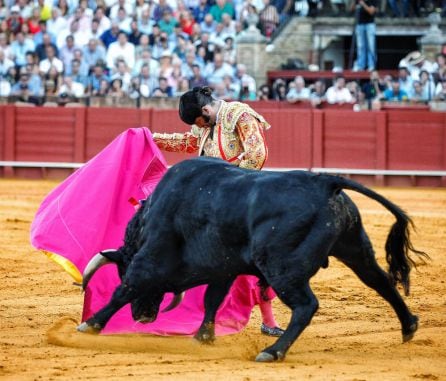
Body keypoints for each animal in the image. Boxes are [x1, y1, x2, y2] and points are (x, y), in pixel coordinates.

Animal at [78, 156, 426, 360]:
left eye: (120, 269)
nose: (144, 317)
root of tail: (325, 181)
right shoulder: (223, 267)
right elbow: (213, 299)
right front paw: (202, 337)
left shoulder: (151, 258)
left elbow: (127, 288)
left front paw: (90, 324)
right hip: (354, 247)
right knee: (380, 281)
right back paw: (409, 326)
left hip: (282, 267)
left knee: (306, 305)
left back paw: (273, 351)